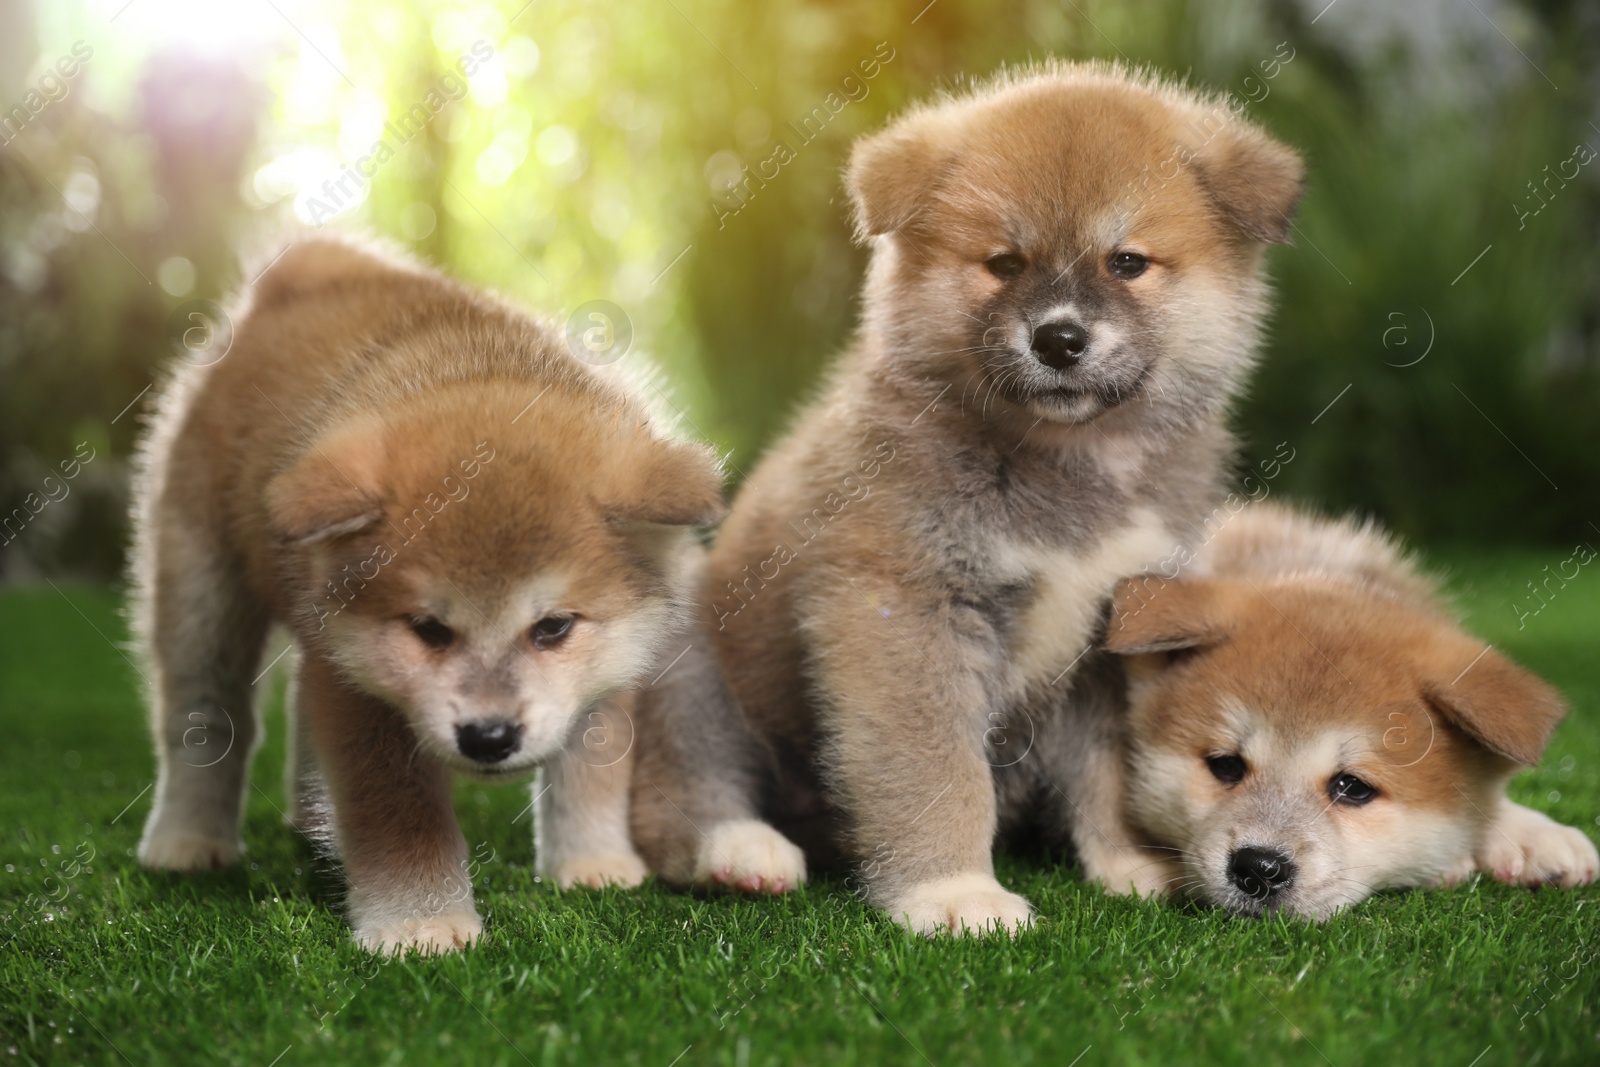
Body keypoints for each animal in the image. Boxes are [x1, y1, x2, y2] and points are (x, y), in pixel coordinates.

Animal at [131, 233, 720, 953]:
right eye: (429, 629)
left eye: (553, 626)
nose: (489, 736)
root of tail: (306, 272)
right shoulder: (361, 698)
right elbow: (400, 815)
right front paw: (421, 922)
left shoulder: (611, 667)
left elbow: (591, 770)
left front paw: (592, 863)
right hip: (201, 590)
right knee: (203, 718)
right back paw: (187, 840)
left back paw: (306, 821)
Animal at [630, 62, 1305, 940]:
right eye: (1005, 263)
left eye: (1127, 262)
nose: (1059, 338)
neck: (1064, 469)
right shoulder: (905, 611)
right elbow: (937, 770)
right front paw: (952, 890)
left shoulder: (1119, 635)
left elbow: (1109, 771)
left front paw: (1130, 862)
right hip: (694, 670)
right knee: (676, 795)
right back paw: (742, 850)